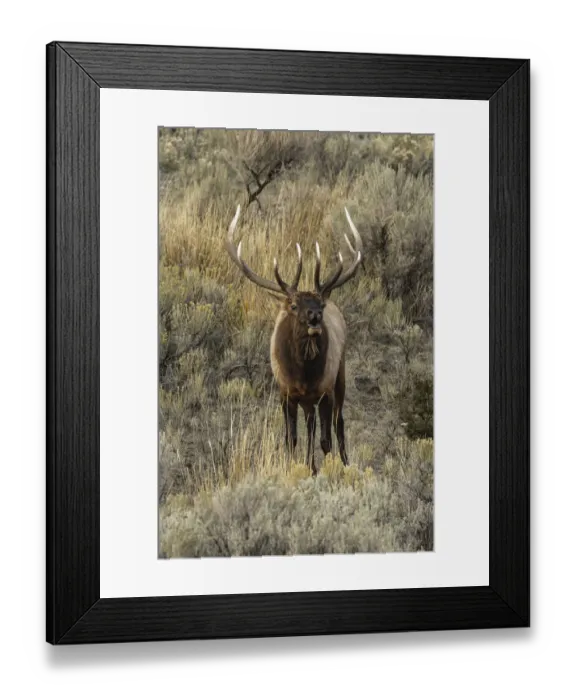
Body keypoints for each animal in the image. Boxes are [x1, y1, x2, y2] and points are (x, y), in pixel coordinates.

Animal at [224, 205, 364, 475]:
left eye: (320, 304)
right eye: (294, 305)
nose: (315, 316)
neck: (304, 374)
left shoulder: (324, 391)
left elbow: (325, 440)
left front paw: (323, 469)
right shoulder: (285, 392)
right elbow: (291, 438)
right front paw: (299, 468)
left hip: (339, 374)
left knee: (337, 424)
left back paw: (345, 462)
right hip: (307, 400)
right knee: (311, 426)